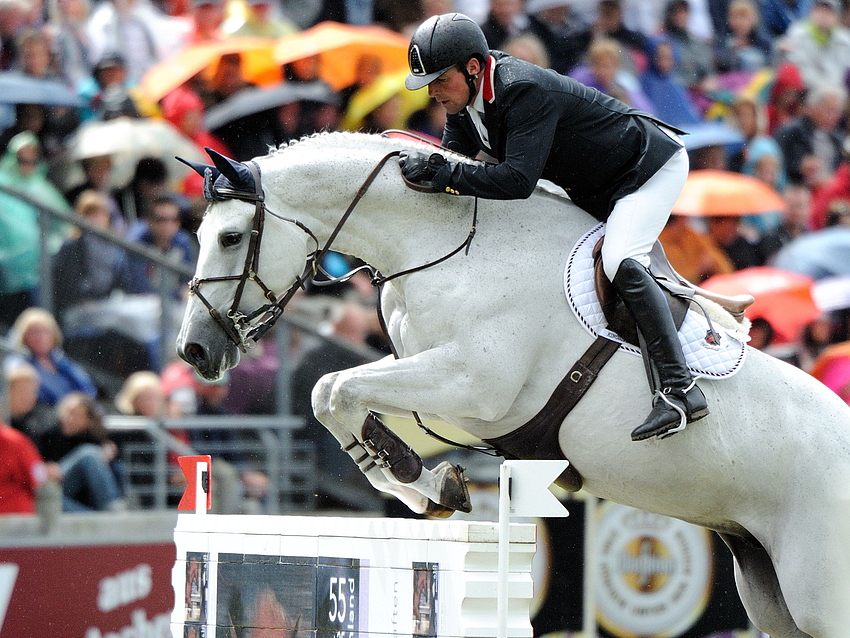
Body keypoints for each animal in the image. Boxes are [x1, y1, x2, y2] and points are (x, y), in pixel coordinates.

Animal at [177, 131, 848, 638]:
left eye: (231, 237)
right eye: (200, 236)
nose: (195, 350)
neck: (445, 246)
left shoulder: (472, 384)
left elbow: (338, 388)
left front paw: (423, 480)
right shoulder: (431, 376)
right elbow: (331, 393)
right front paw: (420, 484)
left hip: (819, 597)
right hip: (772, 592)